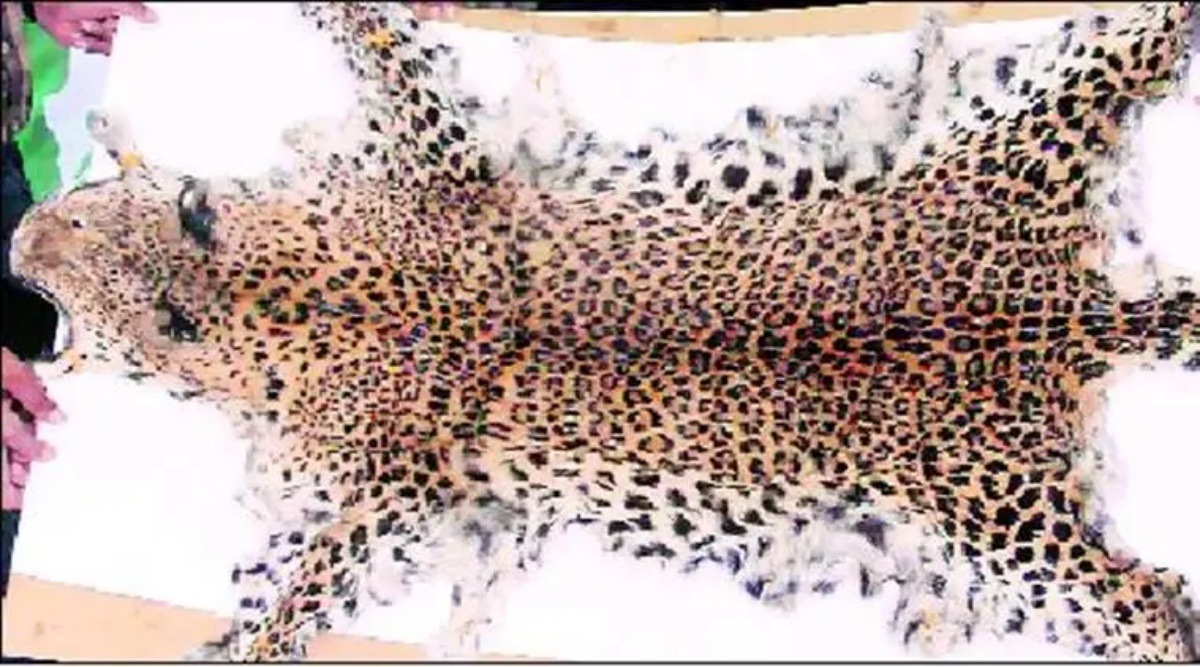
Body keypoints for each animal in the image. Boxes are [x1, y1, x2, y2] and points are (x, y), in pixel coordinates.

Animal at [8, 1, 1200, 662]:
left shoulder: (384, 486)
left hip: (1002, 526)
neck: (270, 294)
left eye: (75, 223)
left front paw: (238, 640)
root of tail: (1065, 311)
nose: (22, 235)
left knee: (1154, 610)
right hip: (1032, 121)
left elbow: (294, 597)